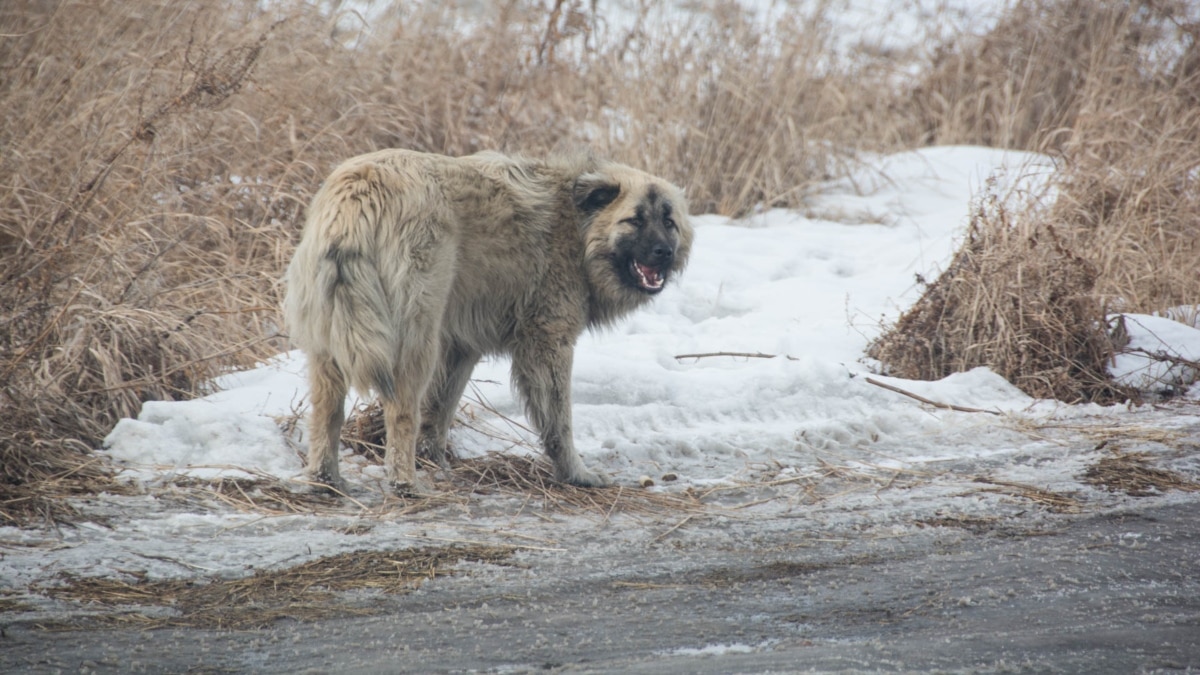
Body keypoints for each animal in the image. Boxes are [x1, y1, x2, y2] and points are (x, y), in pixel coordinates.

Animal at [283, 149, 696, 492]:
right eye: (635, 221)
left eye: (669, 222)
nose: (663, 252)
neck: (578, 229)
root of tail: (360, 188)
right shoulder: (548, 342)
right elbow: (559, 422)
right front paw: (576, 473)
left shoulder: (460, 348)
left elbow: (439, 411)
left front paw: (435, 460)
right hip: (414, 340)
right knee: (400, 410)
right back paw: (404, 482)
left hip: (333, 336)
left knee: (327, 411)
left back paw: (326, 480)